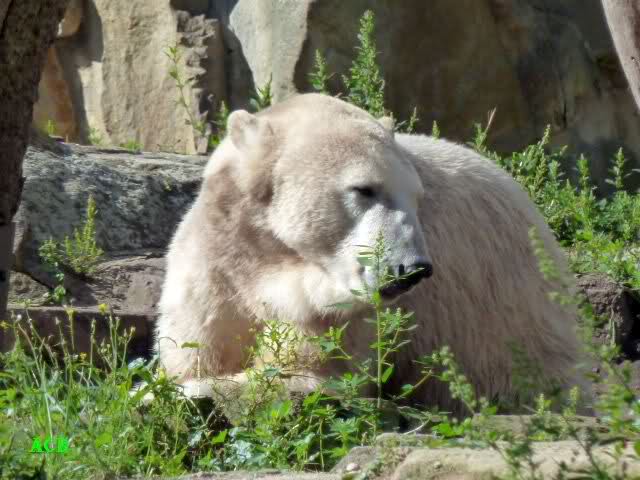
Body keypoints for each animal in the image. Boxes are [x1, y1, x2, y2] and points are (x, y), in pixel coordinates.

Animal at [155, 93, 591, 414]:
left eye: (417, 197)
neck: (273, 256)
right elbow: (194, 351)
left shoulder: (345, 312)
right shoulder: (217, 263)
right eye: (364, 188)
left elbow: (306, 373)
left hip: (506, 308)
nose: (411, 268)